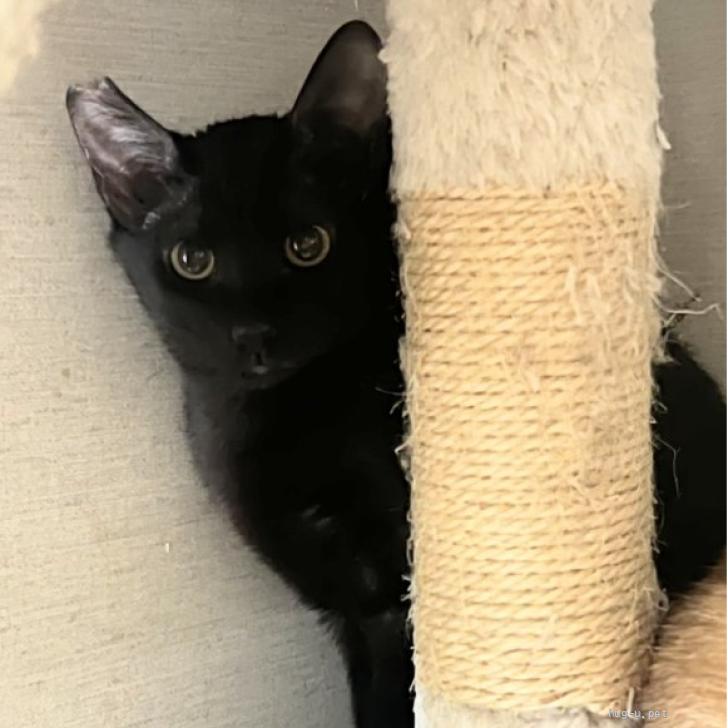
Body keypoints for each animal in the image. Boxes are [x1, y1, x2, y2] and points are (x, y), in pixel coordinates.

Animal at [66, 20, 724, 728]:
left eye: (309, 245)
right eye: (192, 260)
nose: (254, 334)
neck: (284, 416)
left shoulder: (396, 598)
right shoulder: (353, 615)